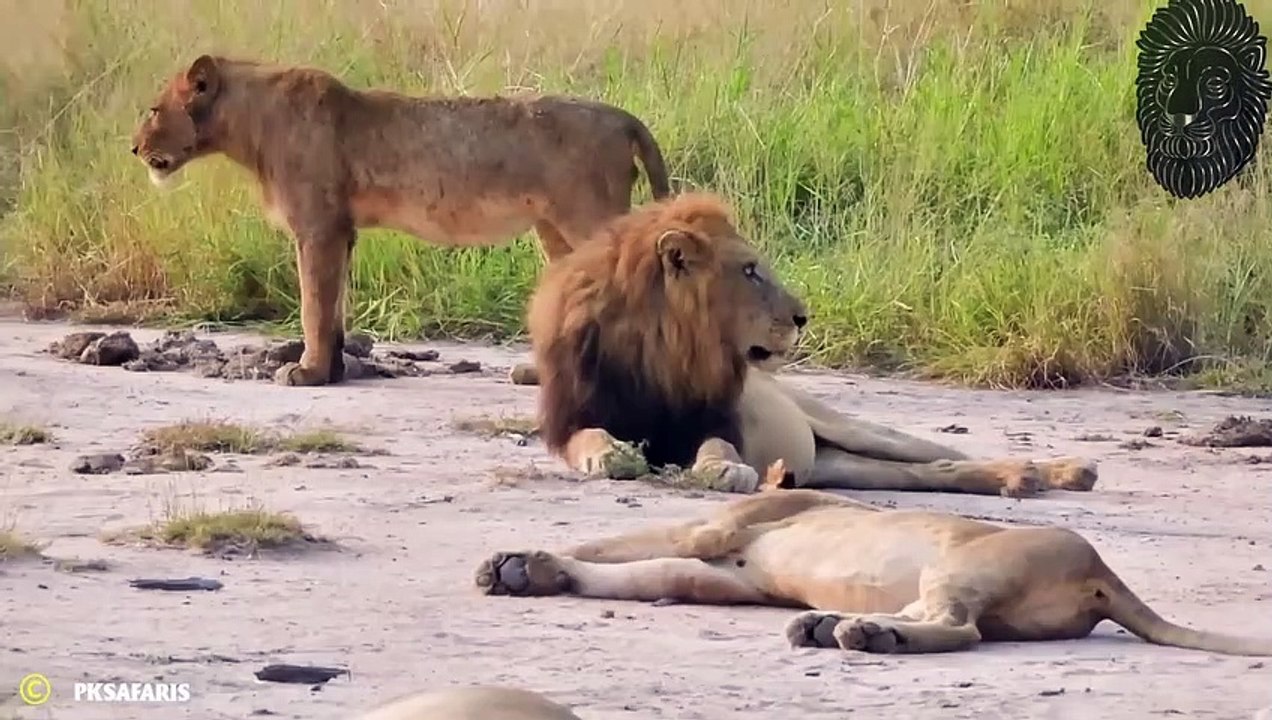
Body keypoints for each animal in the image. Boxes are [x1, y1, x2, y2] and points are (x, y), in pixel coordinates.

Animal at [131, 55, 671, 387]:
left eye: (154, 110)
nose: (133, 148)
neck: (249, 123)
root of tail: (623, 116)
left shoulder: (317, 227)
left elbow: (312, 304)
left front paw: (306, 373)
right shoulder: (341, 231)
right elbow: (333, 308)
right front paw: (333, 371)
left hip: (588, 218)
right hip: (556, 231)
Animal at [526, 191, 1098, 498]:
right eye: (750, 271)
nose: (803, 317)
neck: (665, 348)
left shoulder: (716, 417)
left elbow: (717, 445)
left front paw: (725, 470)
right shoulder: (571, 417)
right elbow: (588, 438)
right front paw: (612, 455)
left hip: (852, 429)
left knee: (943, 454)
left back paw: (1054, 470)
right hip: (842, 467)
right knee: (934, 472)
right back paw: (1021, 479)